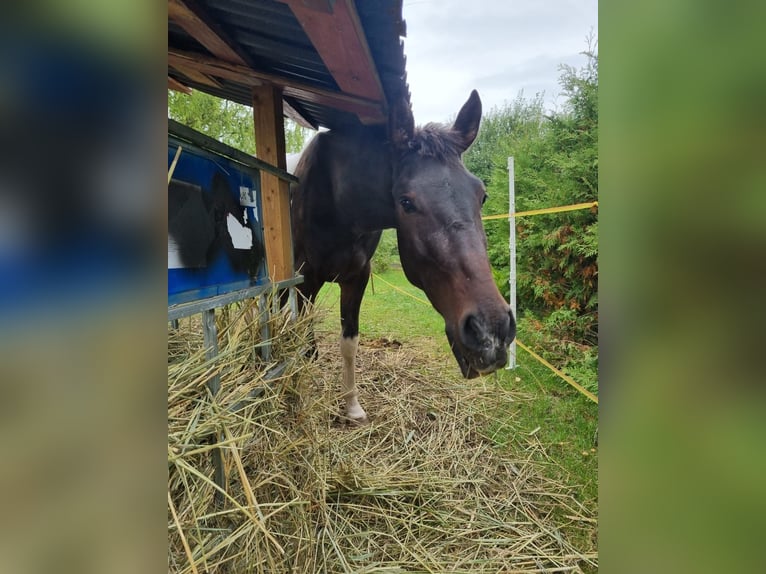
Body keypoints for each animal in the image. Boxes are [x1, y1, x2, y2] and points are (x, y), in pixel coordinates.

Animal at [292, 90, 520, 424]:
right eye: (406, 202)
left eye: (482, 195)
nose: (492, 332)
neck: (335, 200)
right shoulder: (302, 278)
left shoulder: (356, 279)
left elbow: (349, 343)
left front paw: (352, 407)